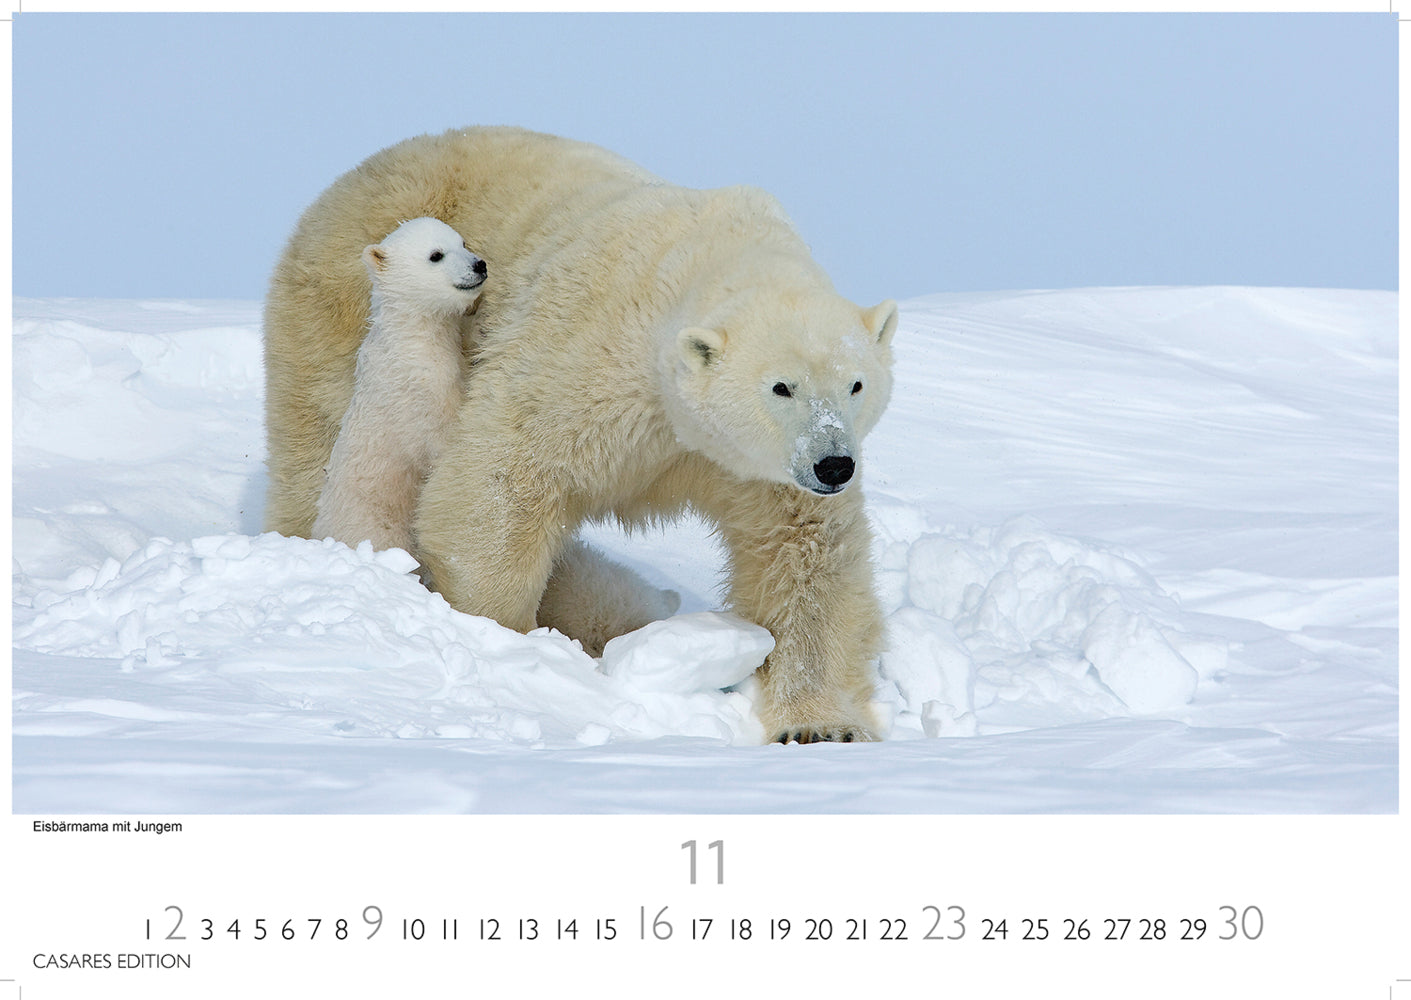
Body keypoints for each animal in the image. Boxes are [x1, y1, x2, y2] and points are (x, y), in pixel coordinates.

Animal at [311, 217, 488, 552]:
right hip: (372, 521)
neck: (410, 335)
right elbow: (441, 431)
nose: (479, 265)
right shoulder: (415, 388)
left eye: (462, 243)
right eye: (436, 255)